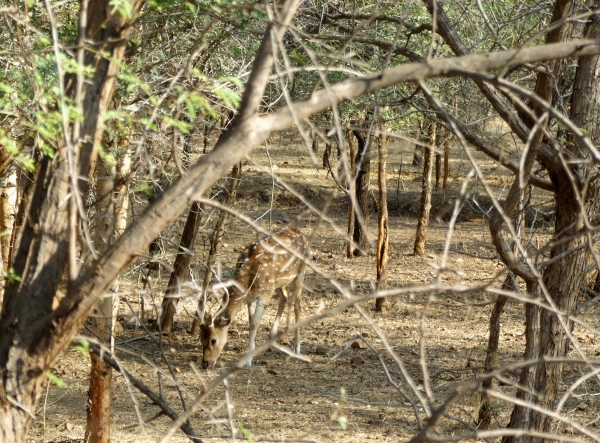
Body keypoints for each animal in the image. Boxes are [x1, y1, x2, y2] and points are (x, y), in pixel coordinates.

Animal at [199, 227, 308, 370]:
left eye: (213, 340)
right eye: (201, 338)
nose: (205, 363)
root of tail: (301, 232)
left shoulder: (265, 293)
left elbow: (255, 322)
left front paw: (248, 361)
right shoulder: (251, 296)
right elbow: (251, 321)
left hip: (300, 272)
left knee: (297, 305)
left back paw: (297, 348)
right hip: (278, 283)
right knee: (285, 296)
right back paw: (272, 336)